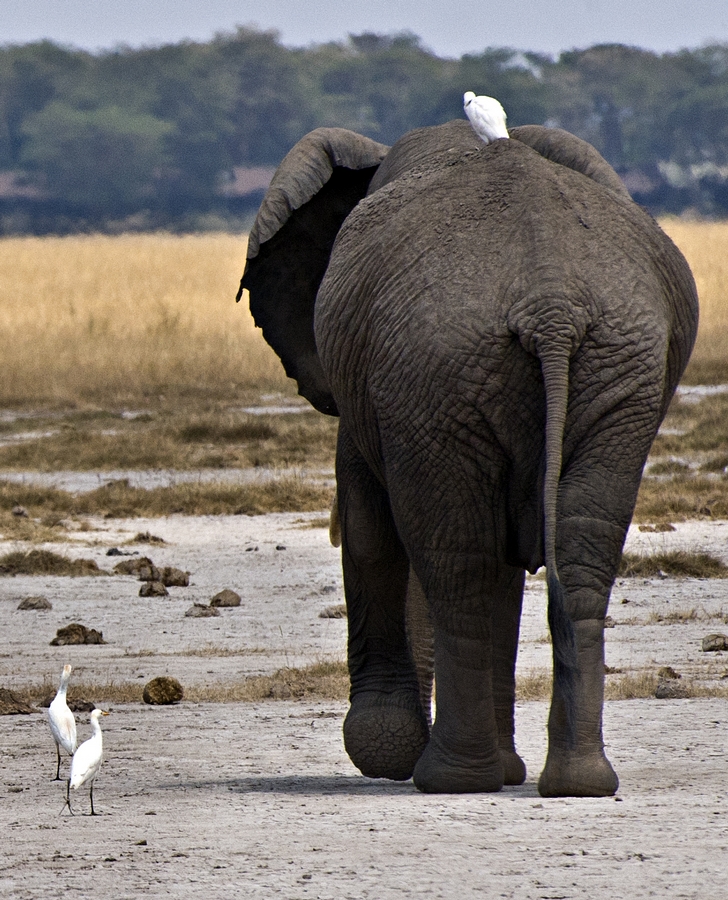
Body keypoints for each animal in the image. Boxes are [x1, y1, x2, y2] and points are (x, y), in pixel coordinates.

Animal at [237, 118, 692, 796]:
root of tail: (551, 307)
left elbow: (370, 531)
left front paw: (387, 752)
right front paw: (503, 771)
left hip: (438, 371)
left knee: (459, 561)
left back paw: (451, 778)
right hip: (607, 373)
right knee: (571, 554)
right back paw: (575, 783)